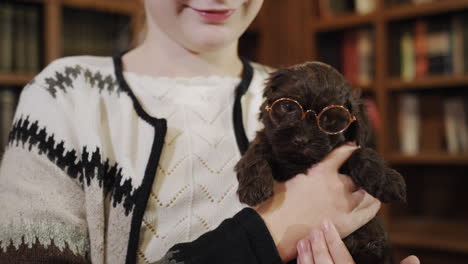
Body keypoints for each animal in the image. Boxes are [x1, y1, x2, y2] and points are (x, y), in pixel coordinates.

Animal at [238, 61, 406, 262]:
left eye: (330, 120)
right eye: (288, 107)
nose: (301, 140)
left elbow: (362, 153)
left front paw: (387, 181)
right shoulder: (269, 140)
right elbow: (255, 150)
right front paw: (253, 186)